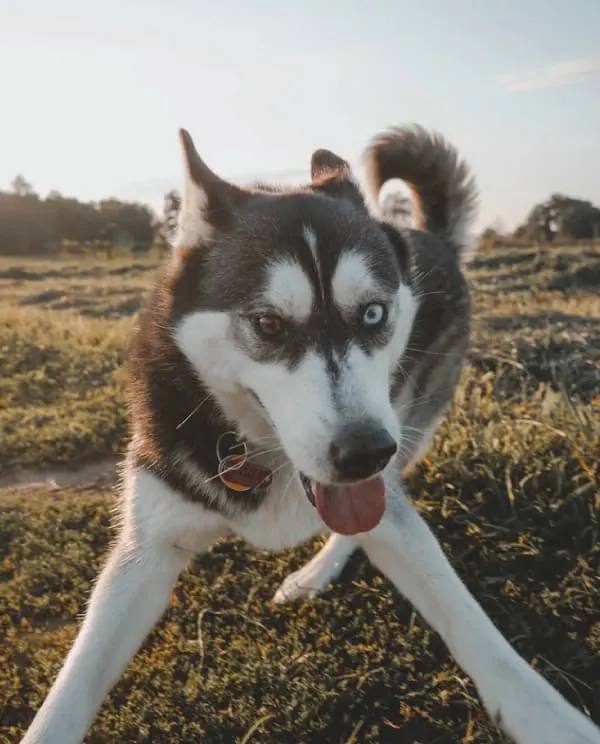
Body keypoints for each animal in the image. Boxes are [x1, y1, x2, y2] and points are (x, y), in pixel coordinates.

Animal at [21, 125, 596, 740]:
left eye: (373, 314)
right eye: (268, 324)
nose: (365, 452)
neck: (259, 454)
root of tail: (429, 236)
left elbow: (469, 621)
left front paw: (547, 716)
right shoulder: (148, 544)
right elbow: (76, 679)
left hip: (412, 420)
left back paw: (315, 572)